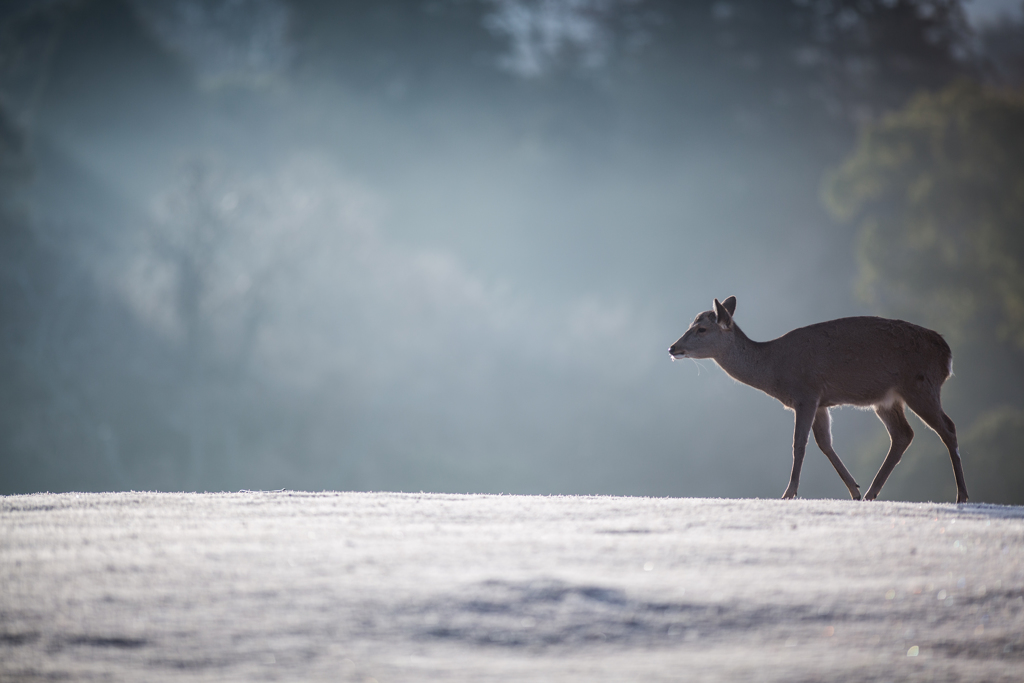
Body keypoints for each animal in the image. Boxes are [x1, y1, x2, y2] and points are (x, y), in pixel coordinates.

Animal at [667, 296, 970, 505]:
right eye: (691, 324)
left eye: (702, 329)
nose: (672, 347)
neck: (774, 369)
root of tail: (947, 354)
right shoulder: (822, 402)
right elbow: (825, 444)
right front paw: (853, 490)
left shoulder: (806, 393)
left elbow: (799, 444)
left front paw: (788, 493)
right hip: (887, 398)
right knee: (903, 434)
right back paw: (871, 493)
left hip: (920, 385)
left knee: (948, 428)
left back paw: (962, 495)